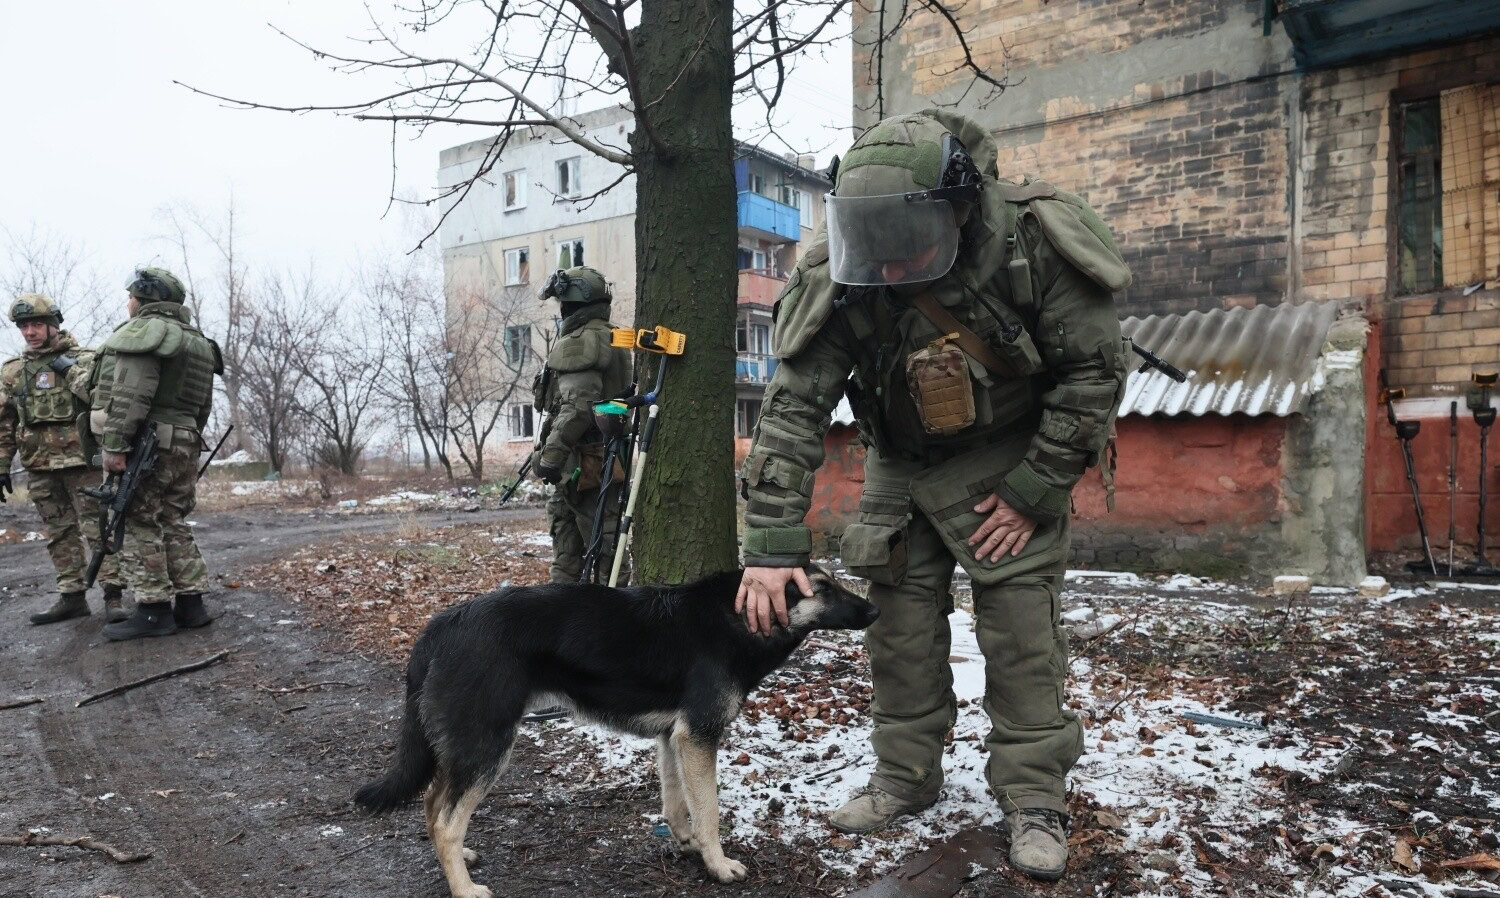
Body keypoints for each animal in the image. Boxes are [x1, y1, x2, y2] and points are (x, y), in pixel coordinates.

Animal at [352, 566, 876, 893]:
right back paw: (464, 887)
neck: (737, 616)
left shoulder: (674, 739)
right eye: (822, 588)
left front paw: (684, 844)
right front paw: (718, 864)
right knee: (444, 821)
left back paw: (463, 858)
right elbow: (708, 811)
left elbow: (676, 801)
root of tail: (444, 622)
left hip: (467, 745)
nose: (874, 611)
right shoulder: (698, 736)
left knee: (432, 803)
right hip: (488, 745)